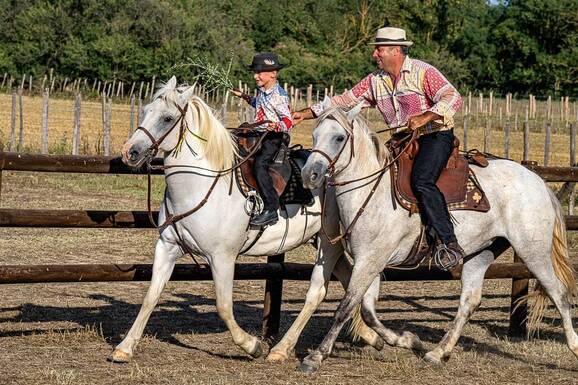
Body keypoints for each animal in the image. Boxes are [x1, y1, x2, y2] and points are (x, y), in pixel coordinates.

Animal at [111, 78, 404, 364]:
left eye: (167, 118)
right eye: (146, 111)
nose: (129, 152)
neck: (203, 184)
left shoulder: (222, 257)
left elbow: (223, 306)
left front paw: (252, 346)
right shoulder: (168, 246)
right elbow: (150, 296)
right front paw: (124, 347)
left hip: (328, 242)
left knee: (323, 291)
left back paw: (282, 349)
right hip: (324, 242)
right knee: (348, 279)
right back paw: (373, 338)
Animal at [296, 104, 576, 372]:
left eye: (339, 137)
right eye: (315, 135)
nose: (309, 175)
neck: (372, 192)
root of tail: (537, 181)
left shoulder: (371, 260)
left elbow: (345, 307)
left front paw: (315, 357)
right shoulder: (369, 260)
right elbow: (367, 310)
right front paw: (407, 341)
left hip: (533, 251)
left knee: (559, 293)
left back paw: (573, 347)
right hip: (482, 252)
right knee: (469, 301)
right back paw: (438, 352)